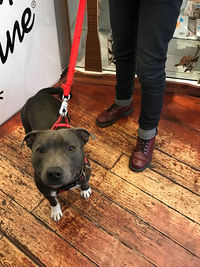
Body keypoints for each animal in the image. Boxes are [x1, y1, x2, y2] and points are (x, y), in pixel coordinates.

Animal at [21, 88, 95, 222]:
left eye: (71, 148)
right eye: (40, 150)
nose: (54, 173)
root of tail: (38, 94)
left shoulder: (84, 174)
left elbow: (84, 183)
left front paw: (85, 190)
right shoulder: (46, 192)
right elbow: (53, 201)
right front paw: (55, 211)